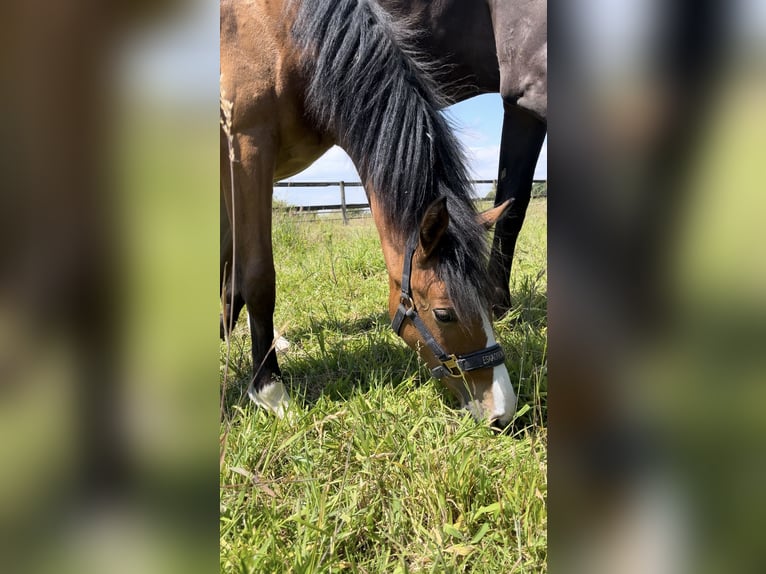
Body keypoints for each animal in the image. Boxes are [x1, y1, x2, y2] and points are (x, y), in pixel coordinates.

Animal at [222, 0, 520, 428]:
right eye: (444, 314)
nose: (503, 411)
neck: (282, 38)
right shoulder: (247, 149)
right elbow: (258, 277)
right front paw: (270, 392)